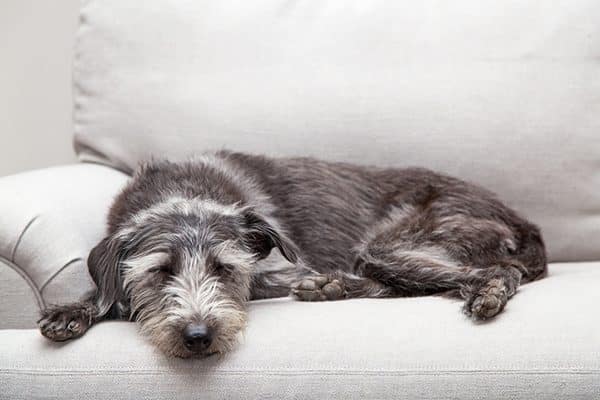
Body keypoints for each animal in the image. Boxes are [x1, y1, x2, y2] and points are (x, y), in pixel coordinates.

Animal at [36, 150, 544, 356]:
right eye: (161, 271)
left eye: (225, 268)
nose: (198, 336)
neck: (182, 190)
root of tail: (521, 218)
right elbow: (104, 290)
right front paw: (72, 310)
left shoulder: (278, 271)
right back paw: (331, 286)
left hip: (392, 243)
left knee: (495, 272)